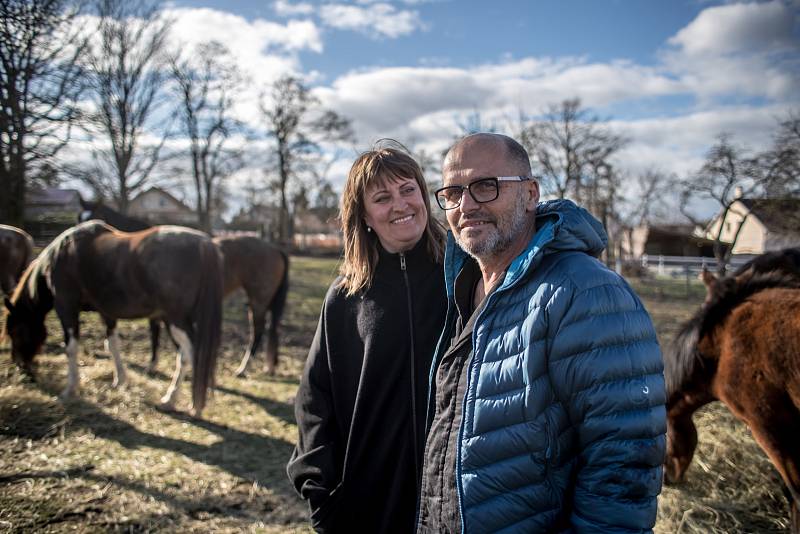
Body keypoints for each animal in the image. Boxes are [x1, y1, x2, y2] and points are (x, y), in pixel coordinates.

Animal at [3, 222, 223, 418]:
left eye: (15, 332)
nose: (20, 366)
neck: (62, 255)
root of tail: (204, 243)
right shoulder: (106, 312)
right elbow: (112, 344)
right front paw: (120, 380)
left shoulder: (66, 306)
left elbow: (71, 348)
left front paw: (70, 389)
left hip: (175, 320)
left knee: (190, 355)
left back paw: (185, 402)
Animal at [78, 201, 290, 376]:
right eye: (79, 217)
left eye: (91, 218)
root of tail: (275, 248)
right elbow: (157, 335)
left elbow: (158, 335)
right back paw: (269, 367)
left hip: (258, 300)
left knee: (258, 331)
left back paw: (243, 368)